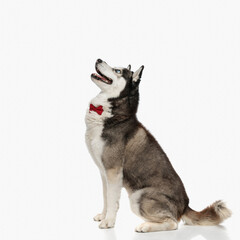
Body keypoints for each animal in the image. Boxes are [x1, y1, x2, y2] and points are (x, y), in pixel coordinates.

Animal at [85, 59, 232, 232]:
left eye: (118, 71)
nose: (98, 59)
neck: (113, 114)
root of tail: (185, 206)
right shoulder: (104, 172)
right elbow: (106, 197)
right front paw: (103, 215)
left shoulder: (113, 171)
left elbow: (112, 200)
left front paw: (108, 222)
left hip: (139, 196)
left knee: (173, 223)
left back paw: (145, 226)